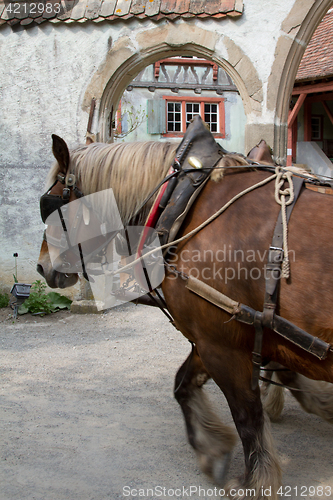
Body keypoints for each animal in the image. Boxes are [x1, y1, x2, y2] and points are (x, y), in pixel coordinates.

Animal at [36, 134, 332, 500]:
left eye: (50, 205)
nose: (42, 267)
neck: (186, 203)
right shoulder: (212, 336)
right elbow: (183, 385)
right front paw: (213, 448)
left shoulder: (221, 344)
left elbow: (247, 416)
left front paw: (255, 483)